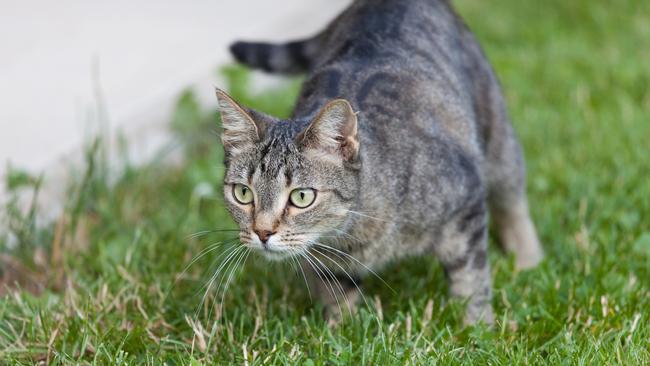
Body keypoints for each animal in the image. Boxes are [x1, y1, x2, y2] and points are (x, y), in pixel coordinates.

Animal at [214, 0, 540, 324]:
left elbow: (470, 278)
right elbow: (338, 296)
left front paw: (477, 326)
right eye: (243, 193)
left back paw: (528, 261)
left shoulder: (465, 201)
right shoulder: (329, 265)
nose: (262, 232)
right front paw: (340, 328)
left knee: (512, 203)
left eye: (302, 197)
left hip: (498, 141)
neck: (355, 236)